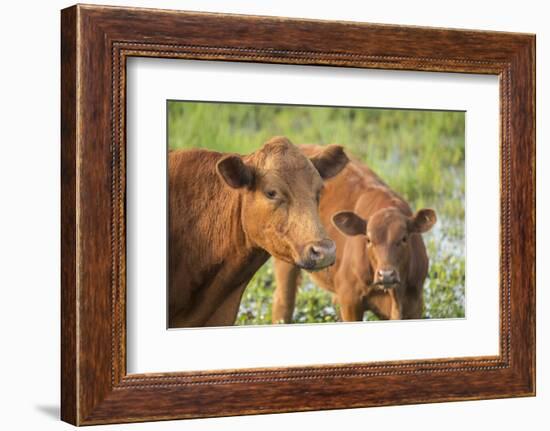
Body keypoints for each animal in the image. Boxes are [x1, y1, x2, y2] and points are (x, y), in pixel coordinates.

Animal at [274, 143, 438, 322]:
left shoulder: (415, 303)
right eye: (369, 240)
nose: (386, 275)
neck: (394, 297)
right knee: (283, 304)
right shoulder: (350, 299)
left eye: (404, 239)